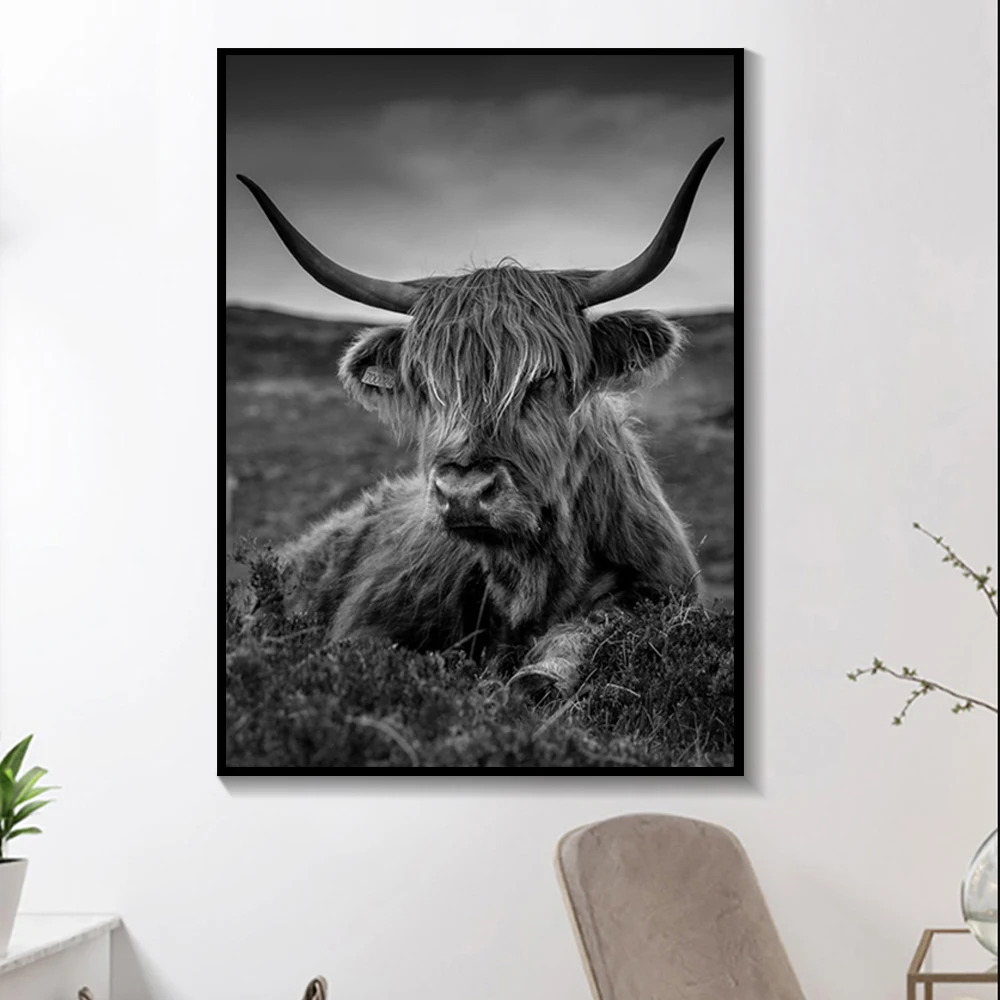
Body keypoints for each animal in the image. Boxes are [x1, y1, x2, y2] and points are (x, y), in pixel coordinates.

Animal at [236, 137, 724, 695]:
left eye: (545, 377)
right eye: (426, 384)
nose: (464, 492)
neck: (528, 578)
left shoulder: (657, 592)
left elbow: (589, 630)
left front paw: (539, 674)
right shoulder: (366, 630)